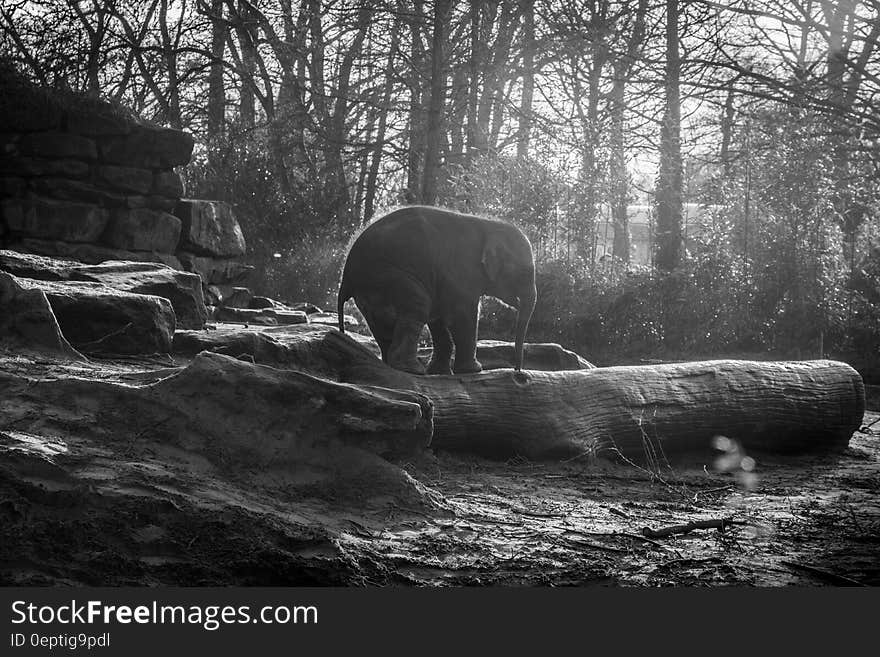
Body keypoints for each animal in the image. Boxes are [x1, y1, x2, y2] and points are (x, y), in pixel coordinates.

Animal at [336, 205, 536, 374]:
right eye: (525, 273)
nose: (518, 371)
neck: (490, 225)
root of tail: (345, 276)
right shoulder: (461, 270)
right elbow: (463, 314)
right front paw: (473, 370)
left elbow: (439, 317)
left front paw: (440, 371)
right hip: (387, 275)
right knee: (419, 305)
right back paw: (413, 370)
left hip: (371, 287)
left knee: (382, 323)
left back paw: (392, 365)